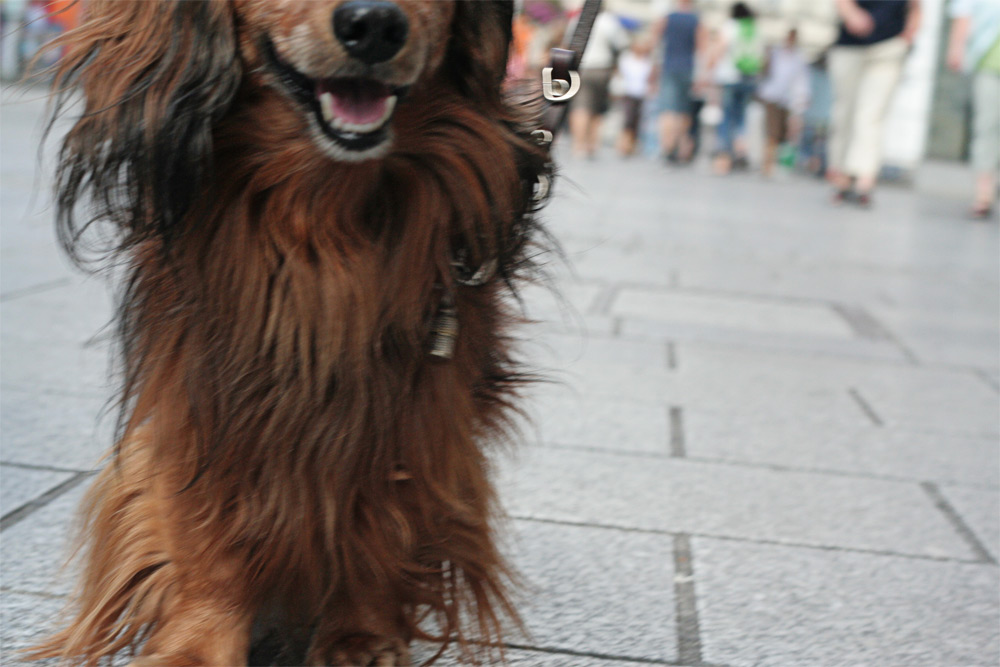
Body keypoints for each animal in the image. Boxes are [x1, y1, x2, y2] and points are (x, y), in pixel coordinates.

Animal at [31, 2, 552, 664]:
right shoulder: (202, 399)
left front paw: (360, 635)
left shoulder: (416, 409)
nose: (375, 26)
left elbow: (383, 521)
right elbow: (207, 532)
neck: (324, 220)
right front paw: (196, 643)